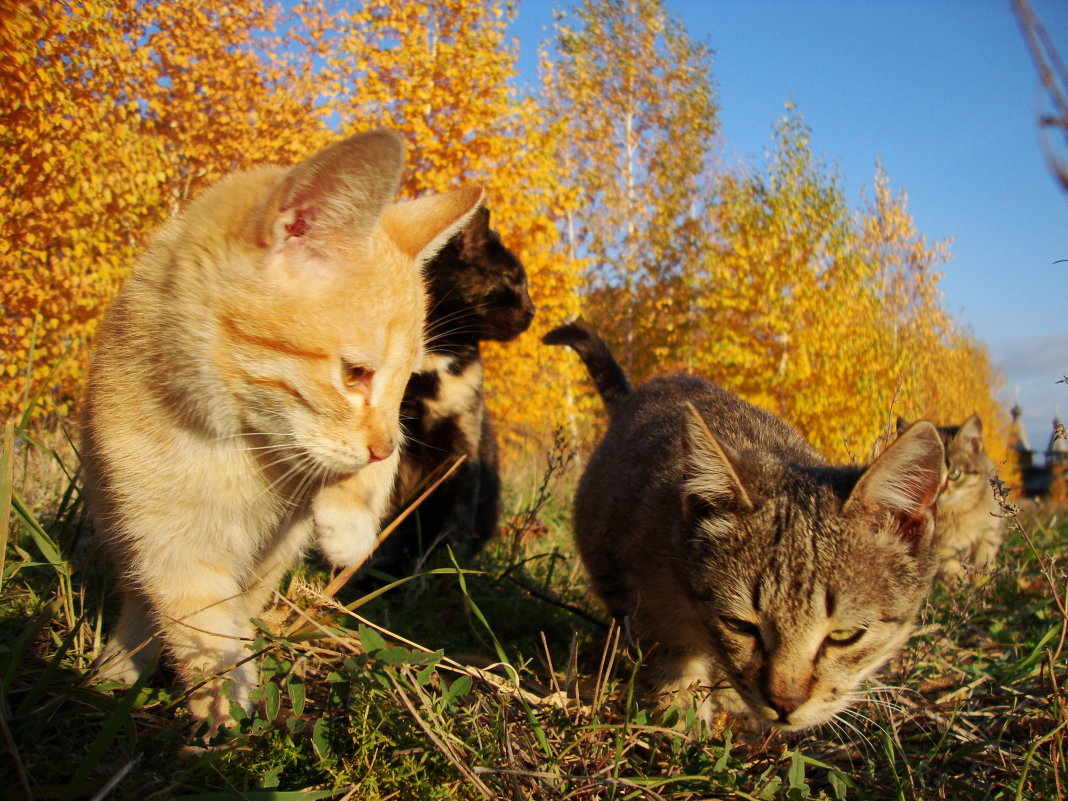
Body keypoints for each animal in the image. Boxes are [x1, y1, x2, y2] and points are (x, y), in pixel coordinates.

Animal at [81, 133, 482, 734]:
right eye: (355, 374)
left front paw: (350, 518)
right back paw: (120, 664)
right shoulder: (163, 540)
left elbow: (367, 461)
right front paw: (222, 697)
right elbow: (197, 619)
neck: (234, 447)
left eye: (405, 382)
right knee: (143, 604)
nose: (380, 445)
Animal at [380, 203, 538, 572]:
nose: (532, 310)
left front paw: (446, 570)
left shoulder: (462, 445)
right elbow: (384, 511)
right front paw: (371, 570)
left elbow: (456, 519)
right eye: (511, 278)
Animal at [546, 322, 948, 734]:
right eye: (739, 625)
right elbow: (673, 664)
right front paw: (682, 727)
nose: (784, 704)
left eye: (844, 636)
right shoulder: (640, 595)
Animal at [897, 416, 1003, 580]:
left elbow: (984, 558)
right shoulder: (942, 548)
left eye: (954, 473)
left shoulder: (991, 529)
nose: (937, 492)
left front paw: (981, 580)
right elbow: (953, 572)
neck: (959, 512)